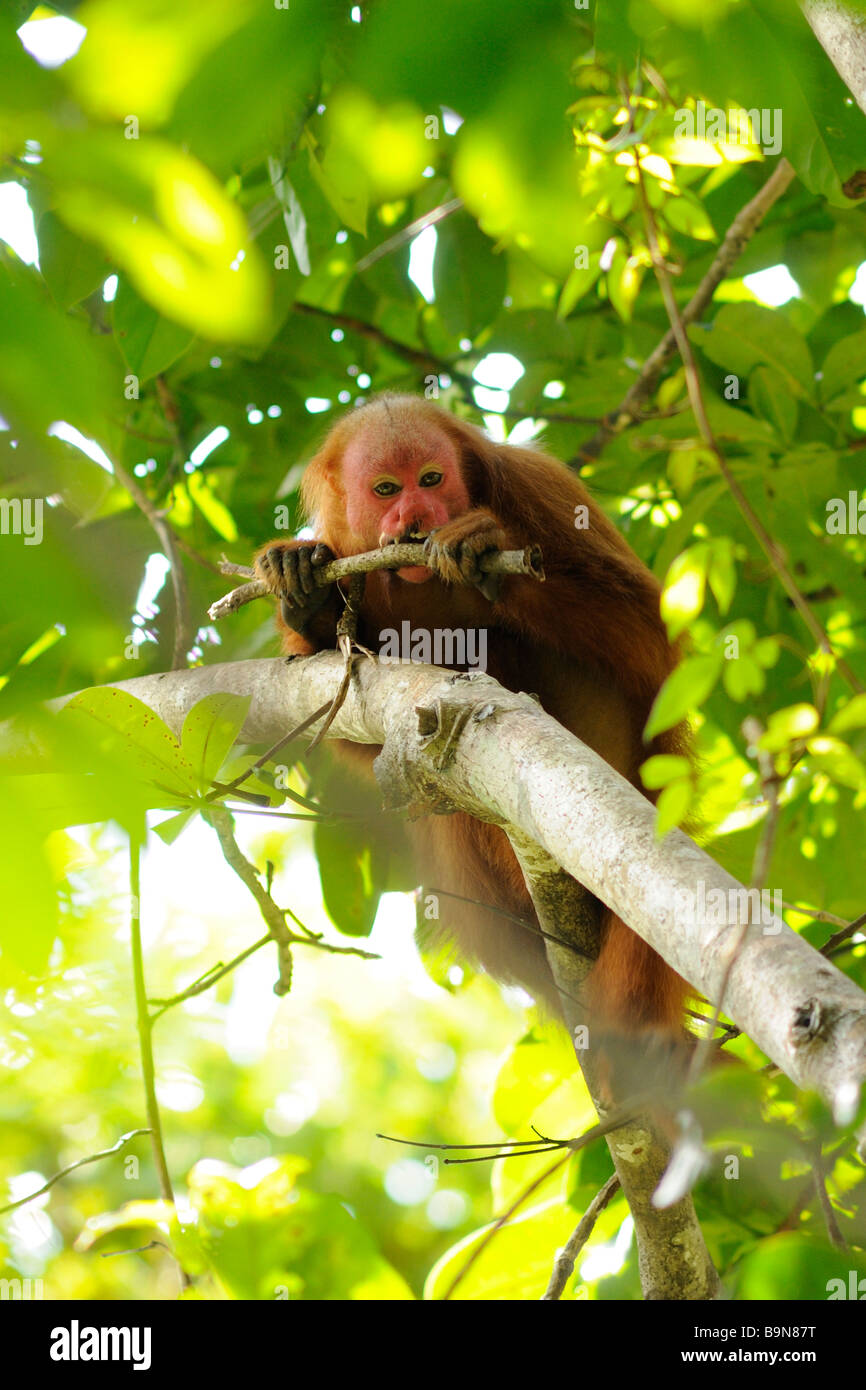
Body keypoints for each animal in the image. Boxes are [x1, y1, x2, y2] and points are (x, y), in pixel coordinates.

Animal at [254, 391, 686, 1034]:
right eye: (387, 488)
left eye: (432, 479)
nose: (416, 512)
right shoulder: (347, 547)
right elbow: (354, 722)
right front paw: (309, 599)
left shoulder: (541, 488)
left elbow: (652, 647)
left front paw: (482, 554)